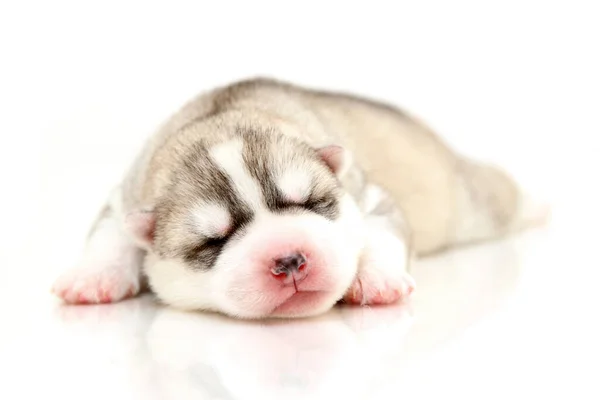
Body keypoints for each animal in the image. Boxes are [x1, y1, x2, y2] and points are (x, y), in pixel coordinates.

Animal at [51, 78, 548, 318]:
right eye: (214, 241)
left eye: (311, 202)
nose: (289, 259)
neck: (223, 117)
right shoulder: (128, 194)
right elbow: (110, 230)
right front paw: (93, 276)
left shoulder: (368, 193)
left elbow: (383, 231)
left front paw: (378, 278)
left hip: (472, 202)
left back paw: (538, 207)